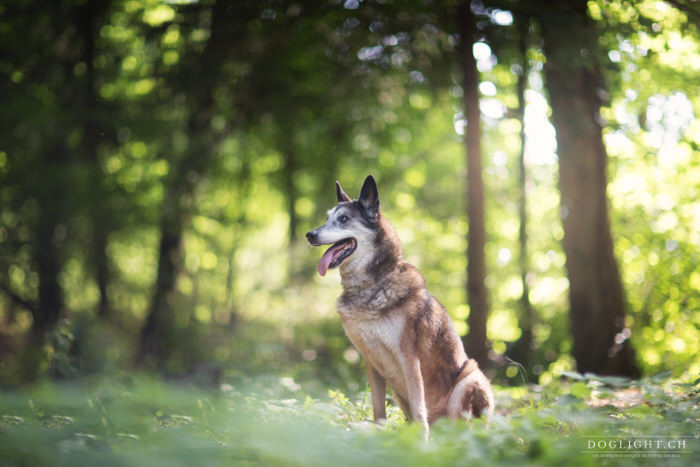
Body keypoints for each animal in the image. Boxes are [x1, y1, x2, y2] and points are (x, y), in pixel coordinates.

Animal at [304, 175, 492, 438]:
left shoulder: (408, 359)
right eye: (326, 217)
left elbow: (419, 409)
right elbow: (378, 410)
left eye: (344, 219)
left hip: (471, 377)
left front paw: (421, 442)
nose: (309, 235)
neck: (373, 285)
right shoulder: (371, 361)